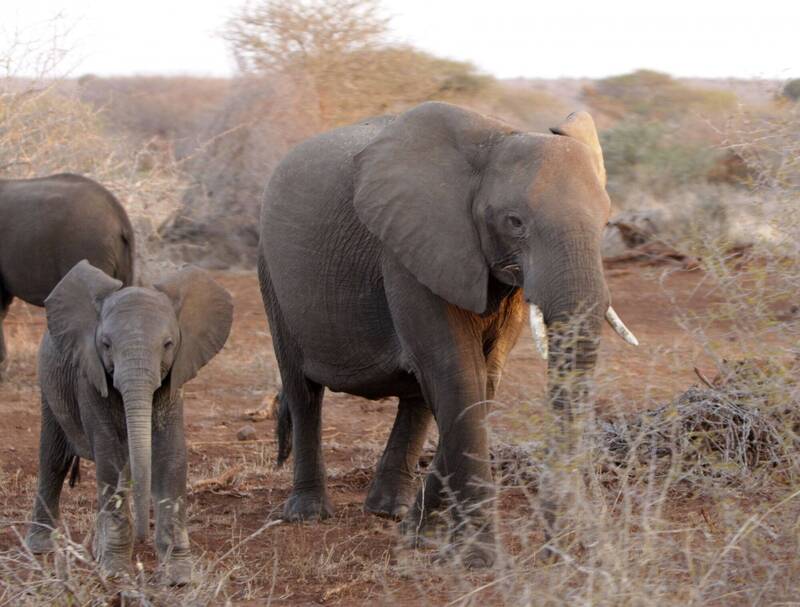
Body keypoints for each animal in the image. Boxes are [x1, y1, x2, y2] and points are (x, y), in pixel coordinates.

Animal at [24, 261, 233, 585]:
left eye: (168, 344)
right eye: (106, 345)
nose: (142, 539)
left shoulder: (174, 380)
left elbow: (170, 457)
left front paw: (178, 577)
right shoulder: (90, 377)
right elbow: (111, 457)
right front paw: (115, 571)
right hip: (49, 383)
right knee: (53, 458)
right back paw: (42, 547)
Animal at [258, 102, 638, 568]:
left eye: (606, 222)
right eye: (514, 222)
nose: (559, 549)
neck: (498, 137)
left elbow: (481, 381)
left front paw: (420, 537)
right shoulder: (410, 250)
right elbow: (458, 374)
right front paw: (477, 559)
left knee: (418, 395)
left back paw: (390, 512)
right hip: (269, 269)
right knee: (302, 389)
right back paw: (308, 514)